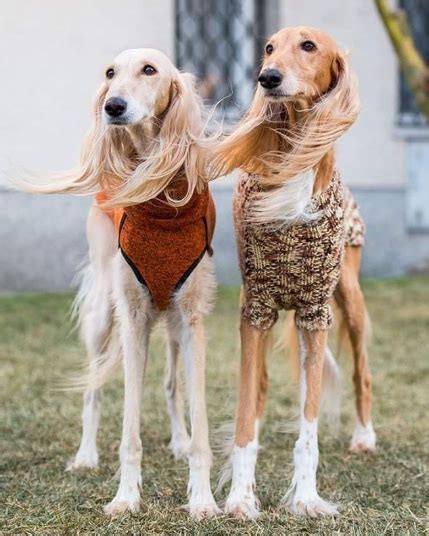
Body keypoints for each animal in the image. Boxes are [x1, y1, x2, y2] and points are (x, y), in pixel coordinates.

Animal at [19, 47, 219, 520]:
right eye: (110, 73)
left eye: (150, 70)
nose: (113, 106)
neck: (159, 194)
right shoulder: (132, 315)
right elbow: (129, 428)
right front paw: (126, 497)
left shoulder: (192, 317)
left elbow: (198, 419)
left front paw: (202, 497)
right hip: (103, 315)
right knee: (92, 388)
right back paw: (85, 456)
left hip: (173, 325)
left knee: (171, 385)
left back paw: (178, 441)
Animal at [214, 28, 374, 520]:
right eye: (268, 48)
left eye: (308, 46)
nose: (267, 78)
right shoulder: (256, 310)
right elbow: (246, 415)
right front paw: (240, 497)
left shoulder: (316, 313)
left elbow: (310, 422)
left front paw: (306, 498)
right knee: (262, 388)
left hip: (347, 299)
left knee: (359, 371)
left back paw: (365, 436)